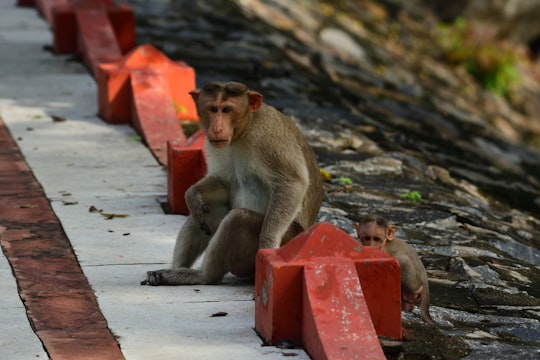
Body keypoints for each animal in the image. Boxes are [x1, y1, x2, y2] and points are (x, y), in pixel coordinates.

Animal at [141, 81, 322, 286]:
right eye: (213, 109)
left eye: (227, 110)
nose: (217, 128)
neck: (244, 131)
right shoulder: (212, 143)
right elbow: (223, 180)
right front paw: (192, 194)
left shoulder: (268, 138)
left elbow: (291, 182)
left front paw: (267, 244)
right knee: (209, 210)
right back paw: (175, 269)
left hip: (287, 238)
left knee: (238, 218)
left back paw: (202, 276)